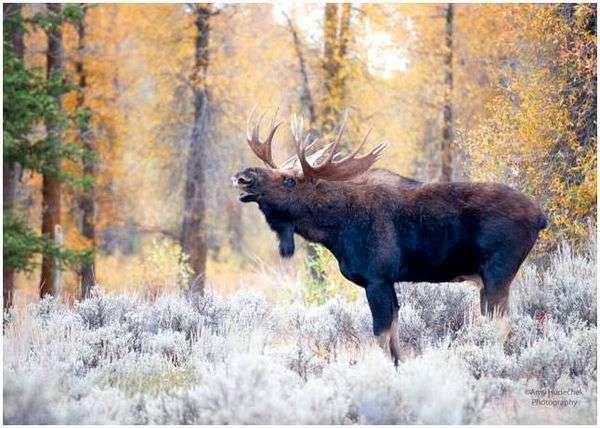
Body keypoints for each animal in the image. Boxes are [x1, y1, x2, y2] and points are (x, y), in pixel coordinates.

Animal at [232, 110, 548, 364]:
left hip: (498, 273)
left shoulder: (378, 278)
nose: (244, 175)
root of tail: (540, 217)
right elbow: (395, 340)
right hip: (486, 280)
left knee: (503, 326)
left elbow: (382, 337)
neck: (335, 229)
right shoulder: (387, 282)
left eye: (289, 180)